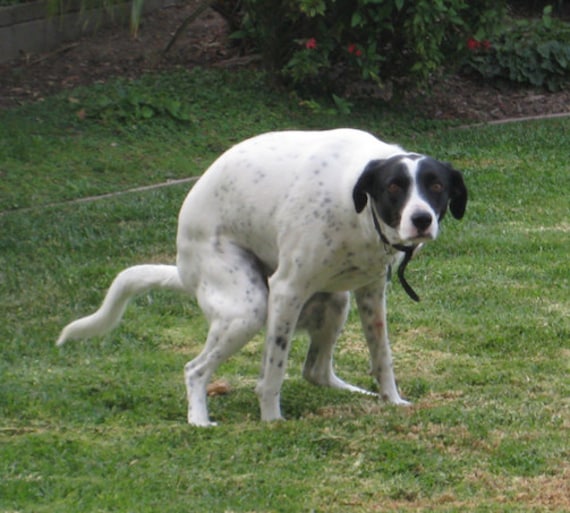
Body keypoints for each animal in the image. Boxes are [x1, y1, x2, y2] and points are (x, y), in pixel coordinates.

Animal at [56, 128, 466, 424]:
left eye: (436, 186)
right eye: (394, 187)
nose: (422, 220)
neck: (357, 207)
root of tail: (184, 269)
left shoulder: (371, 292)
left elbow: (382, 358)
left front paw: (391, 400)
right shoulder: (286, 291)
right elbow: (273, 372)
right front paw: (272, 421)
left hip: (335, 302)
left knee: (315, 370)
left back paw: (353, 392)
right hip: (248, 308)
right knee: (195, 370)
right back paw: (199, 420)